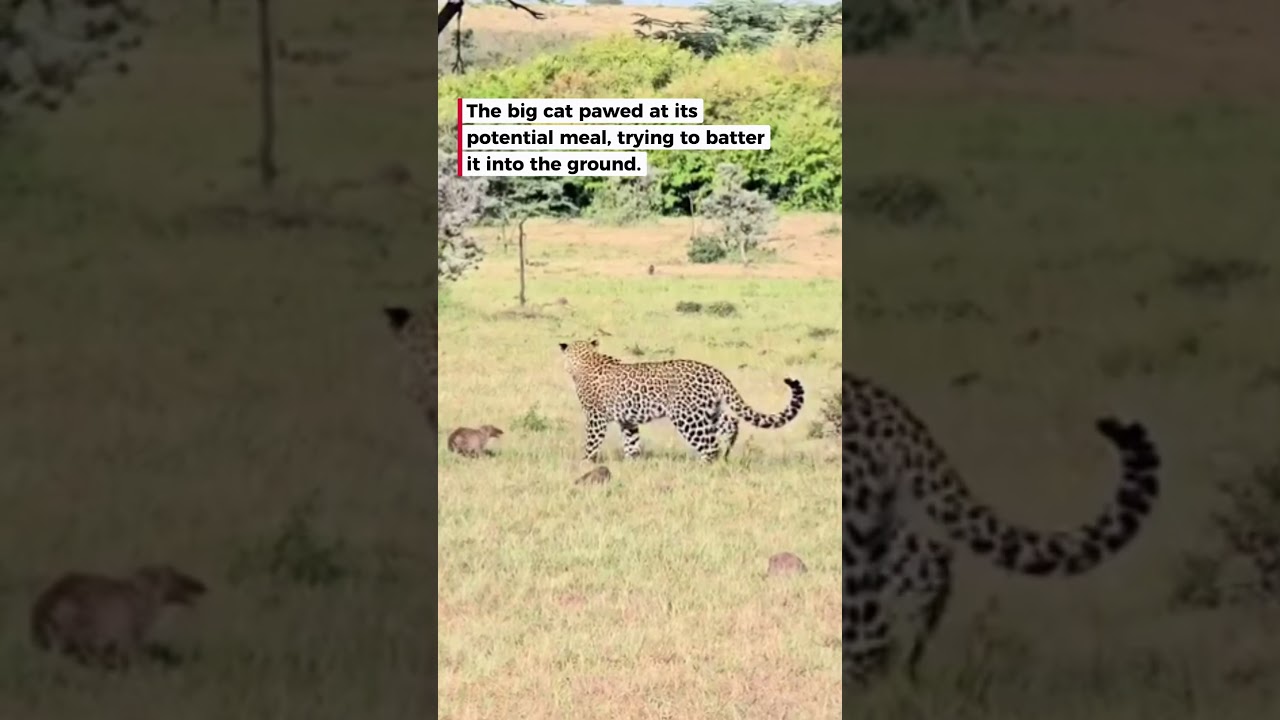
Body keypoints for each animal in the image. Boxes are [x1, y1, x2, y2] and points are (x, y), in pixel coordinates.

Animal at [558, 339, 805, 463]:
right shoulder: (628, 420)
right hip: (709, 411)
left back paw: (707, 466)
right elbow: (631, 443)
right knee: (731, 423)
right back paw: (727, 452)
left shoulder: (596, 418)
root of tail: (715, 372)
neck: (586, 360)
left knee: (710, 445)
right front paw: (632, 464)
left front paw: (584, 463)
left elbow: (591, 442)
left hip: (687, 416)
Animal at [842, 371, 1161, 685]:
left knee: (869, 612)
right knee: (924, 566)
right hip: (877, 525)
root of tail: (888, 406)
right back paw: (897, 672)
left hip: (855, 532)